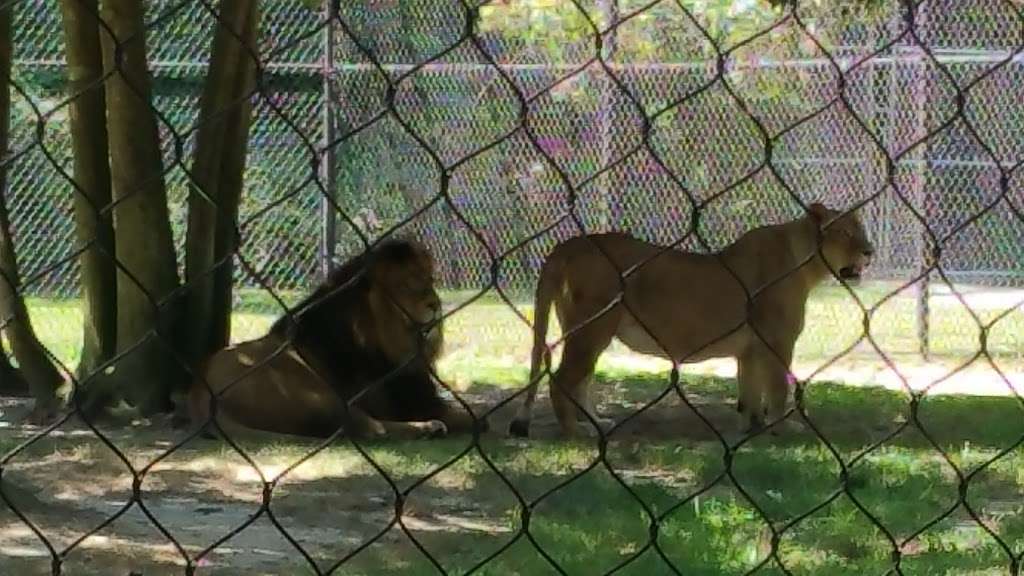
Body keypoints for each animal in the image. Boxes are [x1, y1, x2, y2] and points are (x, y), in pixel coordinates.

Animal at [188, 237, 479, 438]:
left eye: (430, 280)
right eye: (406, 285)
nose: (434, 305)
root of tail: (202, 399)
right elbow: (467, 416)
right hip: (318, 393)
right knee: (372, 430)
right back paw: (427, 428)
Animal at [509, 203, 872, 436]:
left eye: (862, 229)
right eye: (844, 232)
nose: (870, 251)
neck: (807, 261)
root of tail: (569, 244)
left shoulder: (750, 349)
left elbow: (750, 391)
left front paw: (752, 428)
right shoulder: (778, 342)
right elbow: (778, 389)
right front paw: (783, 428)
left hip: (587, 332)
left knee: (580, 381)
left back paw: (595, 424)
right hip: (592, 329)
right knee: (561, 380)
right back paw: (575, 432)